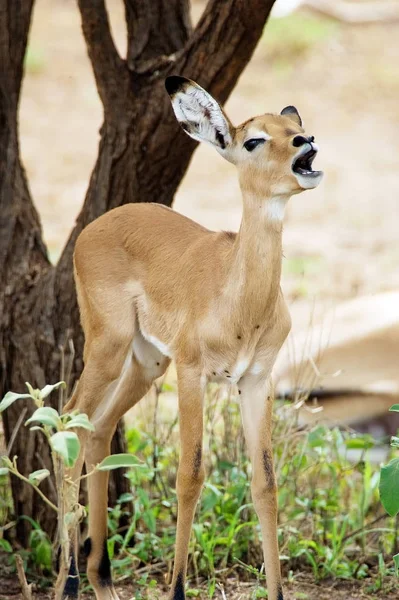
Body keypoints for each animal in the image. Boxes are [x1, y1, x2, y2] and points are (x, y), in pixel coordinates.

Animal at [57, 76, 324, 600]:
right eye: (253, 139)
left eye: (294, 126)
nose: (307, 143)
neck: (238, 299)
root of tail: (93, 227)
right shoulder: (192, 372)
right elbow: (190, 475)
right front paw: (177, 588)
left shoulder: (255, 381)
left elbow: (265, 483)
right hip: (109, 348)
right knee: (68, 422)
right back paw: (69, 580)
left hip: (145, 362)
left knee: (97, 429)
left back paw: (100, 577)